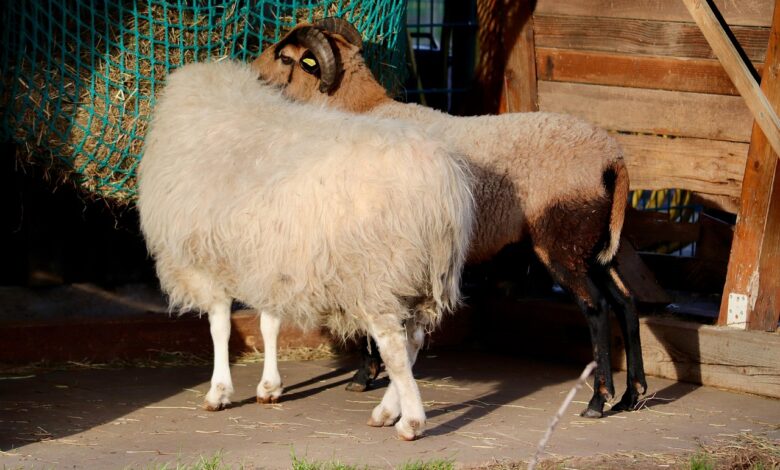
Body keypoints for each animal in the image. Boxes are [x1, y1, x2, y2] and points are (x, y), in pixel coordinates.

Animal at [136, 58, 474, 440]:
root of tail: (440, 182)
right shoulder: (270, 260)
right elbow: (268, 324)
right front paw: (269, 387)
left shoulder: (205, 262)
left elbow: (220, 327)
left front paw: (218, 391)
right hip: (422, 277)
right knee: (415, 340)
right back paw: (386, 411)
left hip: (377, 274)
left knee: (395, 348)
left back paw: (410, 422)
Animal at [251, 18, 647, 418]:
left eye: (285, 57)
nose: (252, 75)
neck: (362, 109)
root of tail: (613, 159)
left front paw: (363, 376)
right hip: (594, 244)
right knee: (626, 302)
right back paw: (633, 395)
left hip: (561, 239)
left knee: (597, 308)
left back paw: (599, 399)